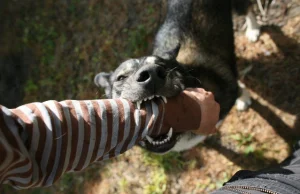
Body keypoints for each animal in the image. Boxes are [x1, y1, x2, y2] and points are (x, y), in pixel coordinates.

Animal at [94, 0, 253, 155]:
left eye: (163, 67)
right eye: (121, 78)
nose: (151, 75)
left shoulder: (229, 85)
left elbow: (239, 87)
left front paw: (244, 98)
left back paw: (253, 30)